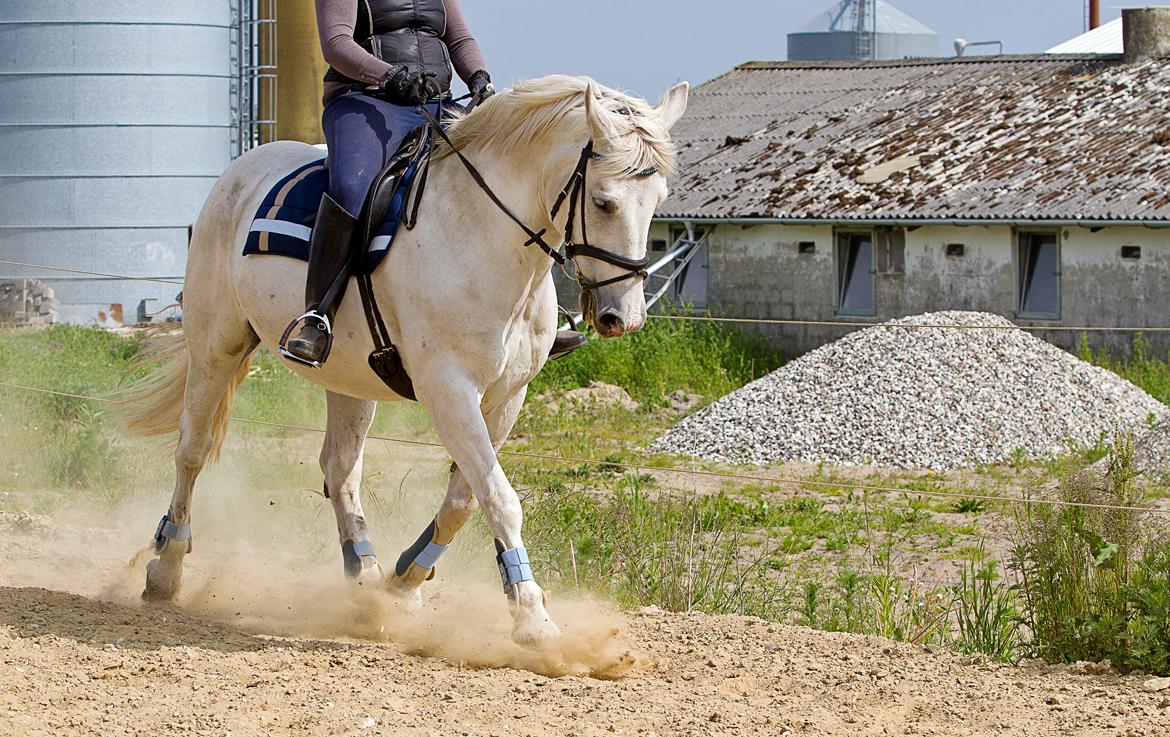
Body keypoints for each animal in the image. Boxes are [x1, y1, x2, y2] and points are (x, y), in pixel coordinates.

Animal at [121, 72, 683, 645]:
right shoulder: (448, 389)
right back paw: (165, 567)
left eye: (658, 198)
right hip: (218, 346)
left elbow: (464, 500)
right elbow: (499, 498)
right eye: (604, 202)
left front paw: (405, 582)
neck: (481, 235)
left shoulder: (506, 397)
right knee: (191, 451)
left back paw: (364, 580)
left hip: (347, 378)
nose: (622, 317)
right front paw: (533, 619)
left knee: (340, 469)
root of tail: (242, 168)